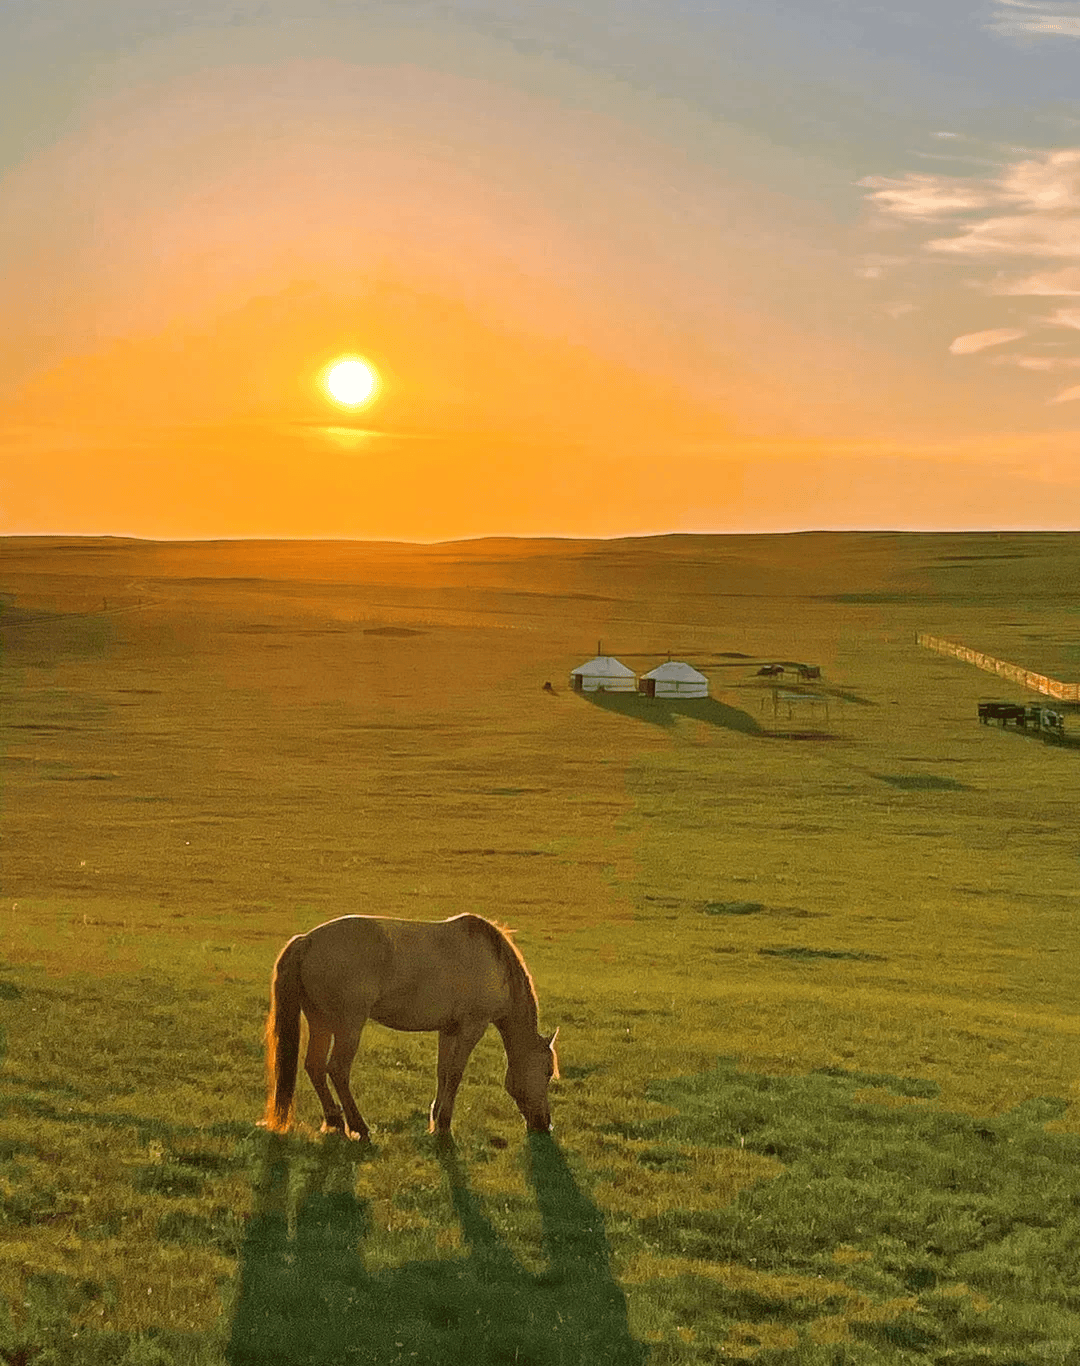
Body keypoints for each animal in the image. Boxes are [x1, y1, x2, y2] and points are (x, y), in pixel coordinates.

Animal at [263, 917, 562, 1141]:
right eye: (547, 1072)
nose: (545, 1123)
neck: (492, 962)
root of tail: (307, 940)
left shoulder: (449, 1029)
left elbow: (443, 1073)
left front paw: (435, 1119)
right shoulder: (471, 1027)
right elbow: (456, 1074)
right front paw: (444, 1125)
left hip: (320, 1021)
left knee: (314, 1066)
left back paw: (335, 1120)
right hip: (349, 1026)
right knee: (336, 1070)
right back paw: (359, 1126)